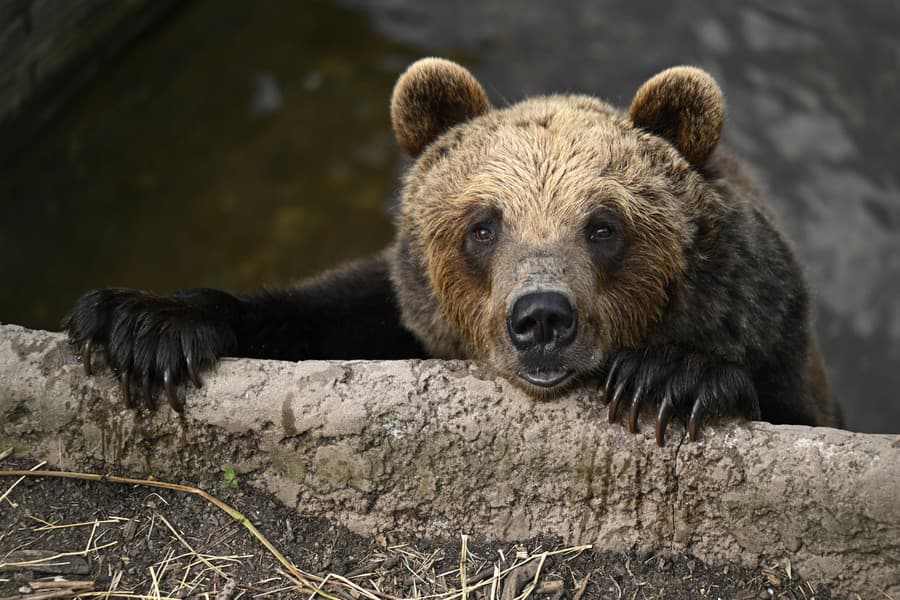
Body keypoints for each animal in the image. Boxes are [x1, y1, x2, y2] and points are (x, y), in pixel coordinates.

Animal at [65, 58, 844, 446]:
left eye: (603, 226)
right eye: (483, 225)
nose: (541, 318)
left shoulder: (766, 326)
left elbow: (777, 403)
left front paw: (669, 377)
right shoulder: (400, 308)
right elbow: (304, 312)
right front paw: (142, 324)